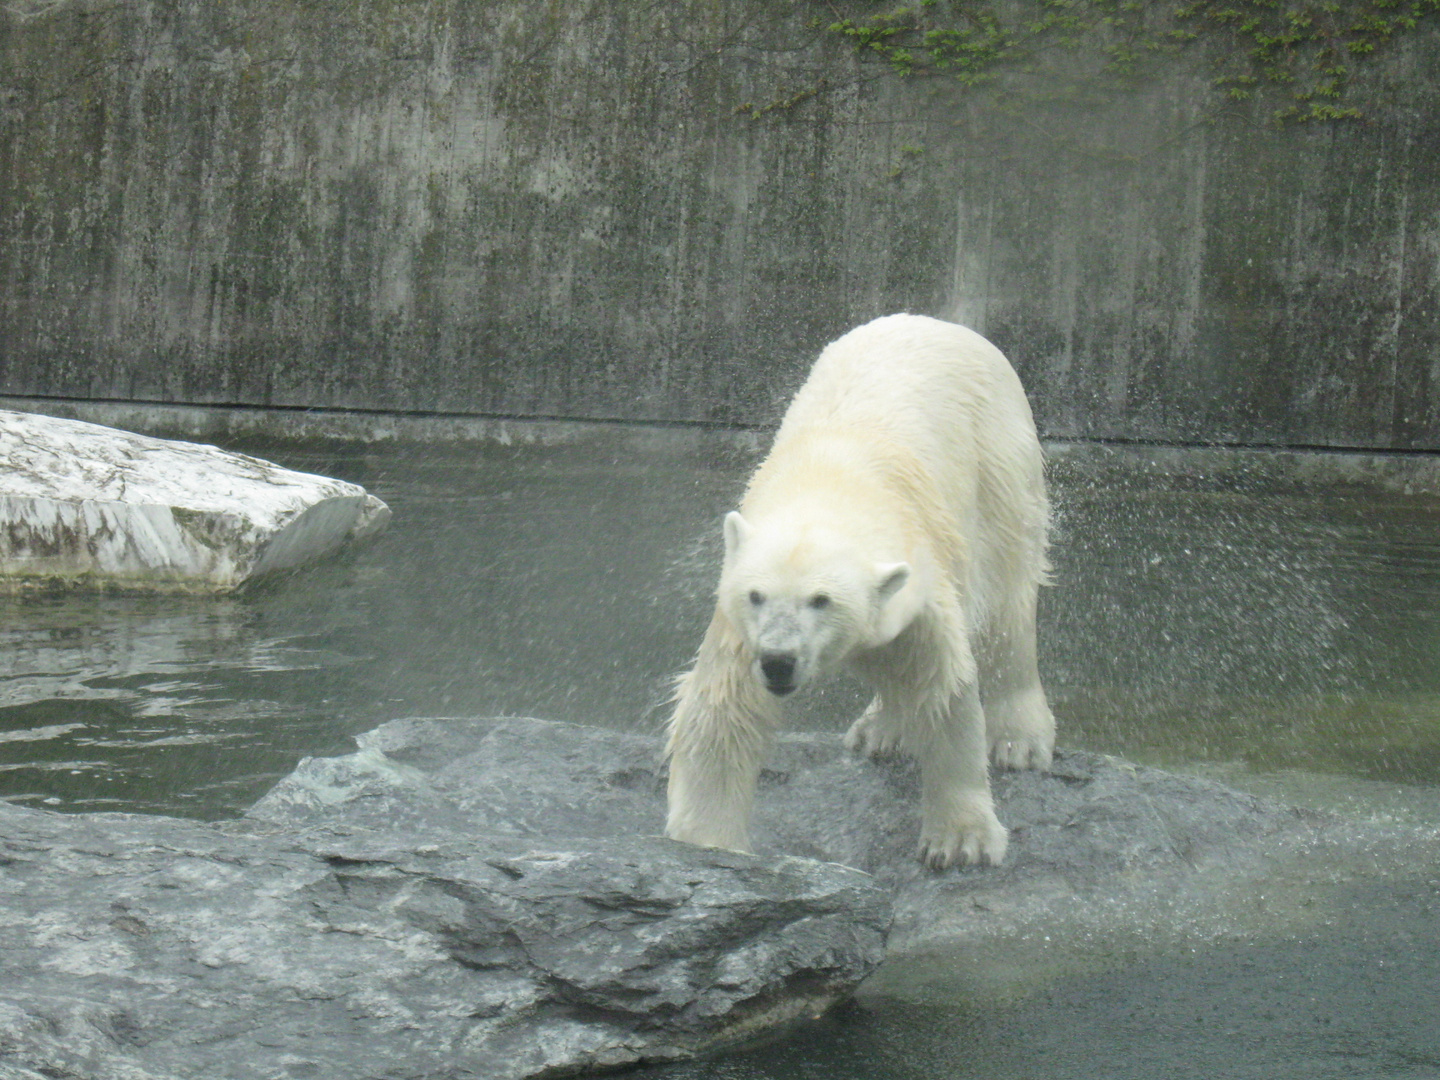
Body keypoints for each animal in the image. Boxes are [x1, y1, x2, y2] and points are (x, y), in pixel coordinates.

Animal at [665, 312, 1059, 869]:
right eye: (756, 596)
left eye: (821, 601)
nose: (779, 662)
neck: (833, 481)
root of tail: (945, 323)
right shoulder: (742, 627)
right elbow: (725, 711)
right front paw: (705, 841)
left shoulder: (923, 586)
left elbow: (942, 693)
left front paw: (961, 841)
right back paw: (879, 730)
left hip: (1002, 464)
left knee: (1008, 605)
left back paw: (1017, 739)